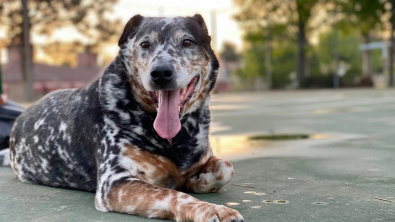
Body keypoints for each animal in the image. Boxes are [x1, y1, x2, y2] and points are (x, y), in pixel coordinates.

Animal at [9, 14, 244, 221]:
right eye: (144, 44)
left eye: (187, 42)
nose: (160, 72)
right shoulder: (114, 182)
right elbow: (171, 194)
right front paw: (212, 209)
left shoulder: (205, 157)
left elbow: (226, 167)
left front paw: (199, 181)